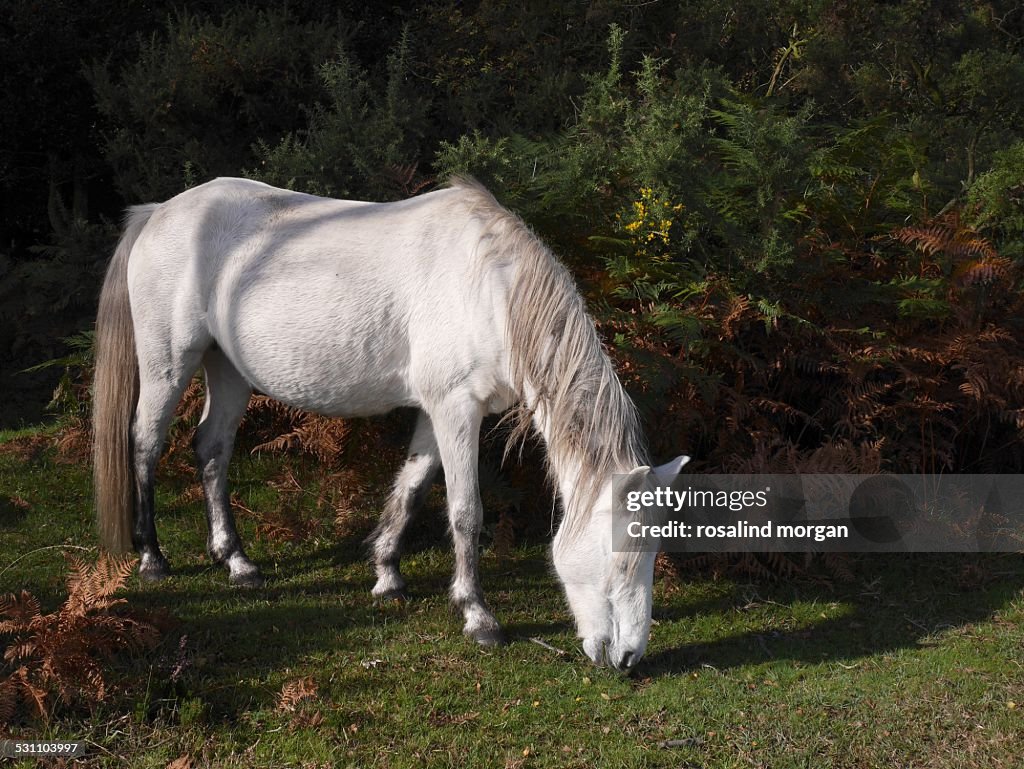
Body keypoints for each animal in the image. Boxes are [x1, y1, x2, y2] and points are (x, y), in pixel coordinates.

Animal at [94, 177, 688, 671]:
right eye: (622, 555)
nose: (629, 657)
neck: (488, 289)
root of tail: (161, 211)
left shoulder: (435, 412)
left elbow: (412, 487)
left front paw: (387, 575)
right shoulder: (456, 410)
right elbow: (465, 513)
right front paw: (478, 617)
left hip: (229, 370)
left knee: (212, 450)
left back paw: (236, 561)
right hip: (168, 363)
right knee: (146, 443)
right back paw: (152, 558)